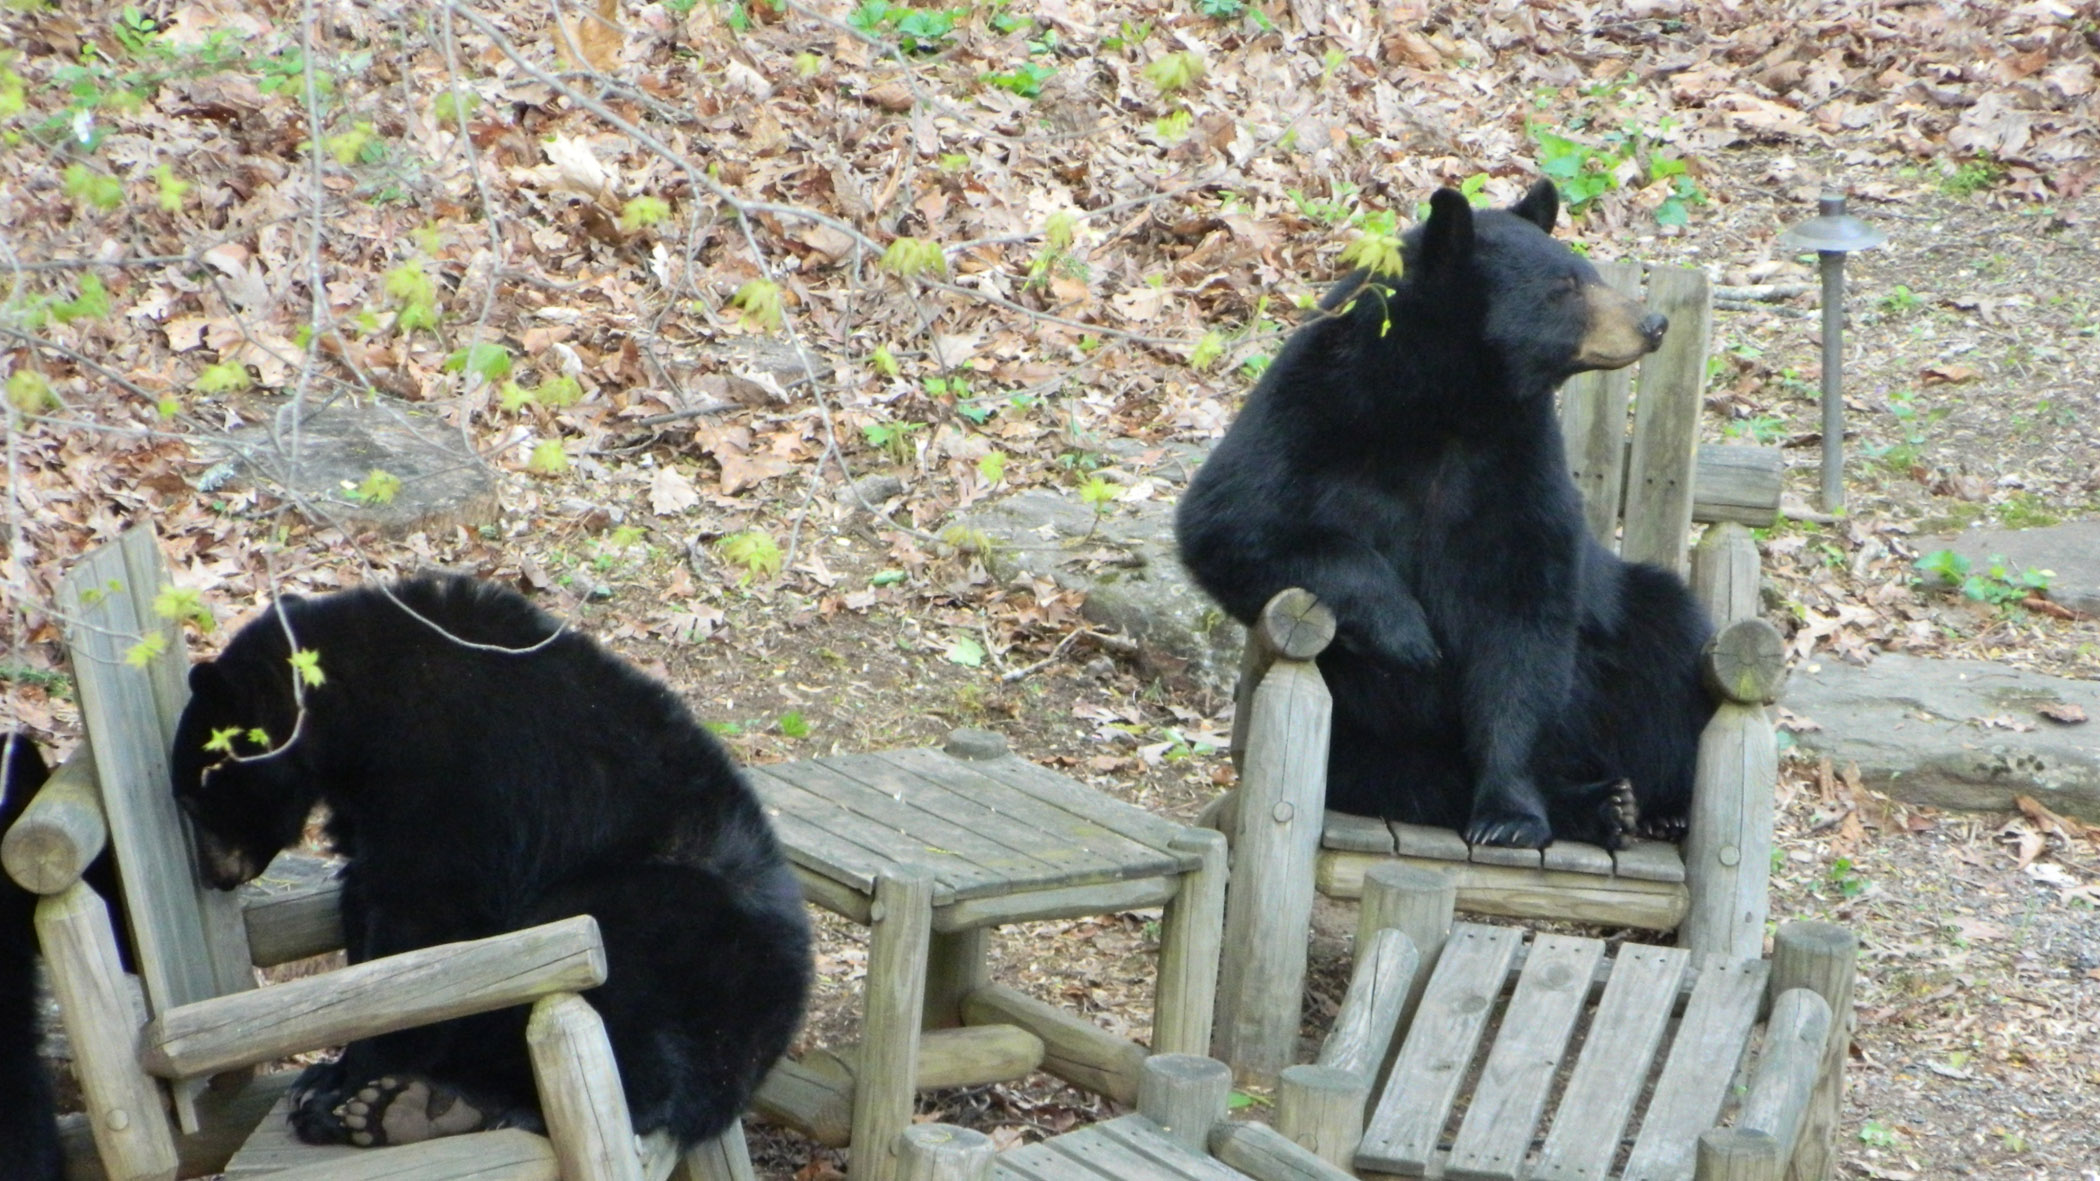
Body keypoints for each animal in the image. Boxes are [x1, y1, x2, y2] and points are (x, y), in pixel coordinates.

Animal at [167, 575, 812, 1149]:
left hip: (671, 924)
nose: (214, 876)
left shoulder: (463, 775)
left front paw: (340, 1081)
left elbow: (428, 926)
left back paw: (427, 1108)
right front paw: (329, 1073)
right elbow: (368, 908)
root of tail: (759, 1060)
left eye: (197, 796)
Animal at [1176, 179, 1716, 850]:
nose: (1653, 323)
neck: (1445, 401)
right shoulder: (1315, 402)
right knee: (1400, 778)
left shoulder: (1518, 452)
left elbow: (1521, 612)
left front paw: (1509, 814)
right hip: (1364, 737)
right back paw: (1600, 804)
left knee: (1669, 650)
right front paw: (1409, 635)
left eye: (1589, 274)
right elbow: (1236, 519)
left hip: (1624, 628)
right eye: (1564, 287)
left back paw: (1654, 806)